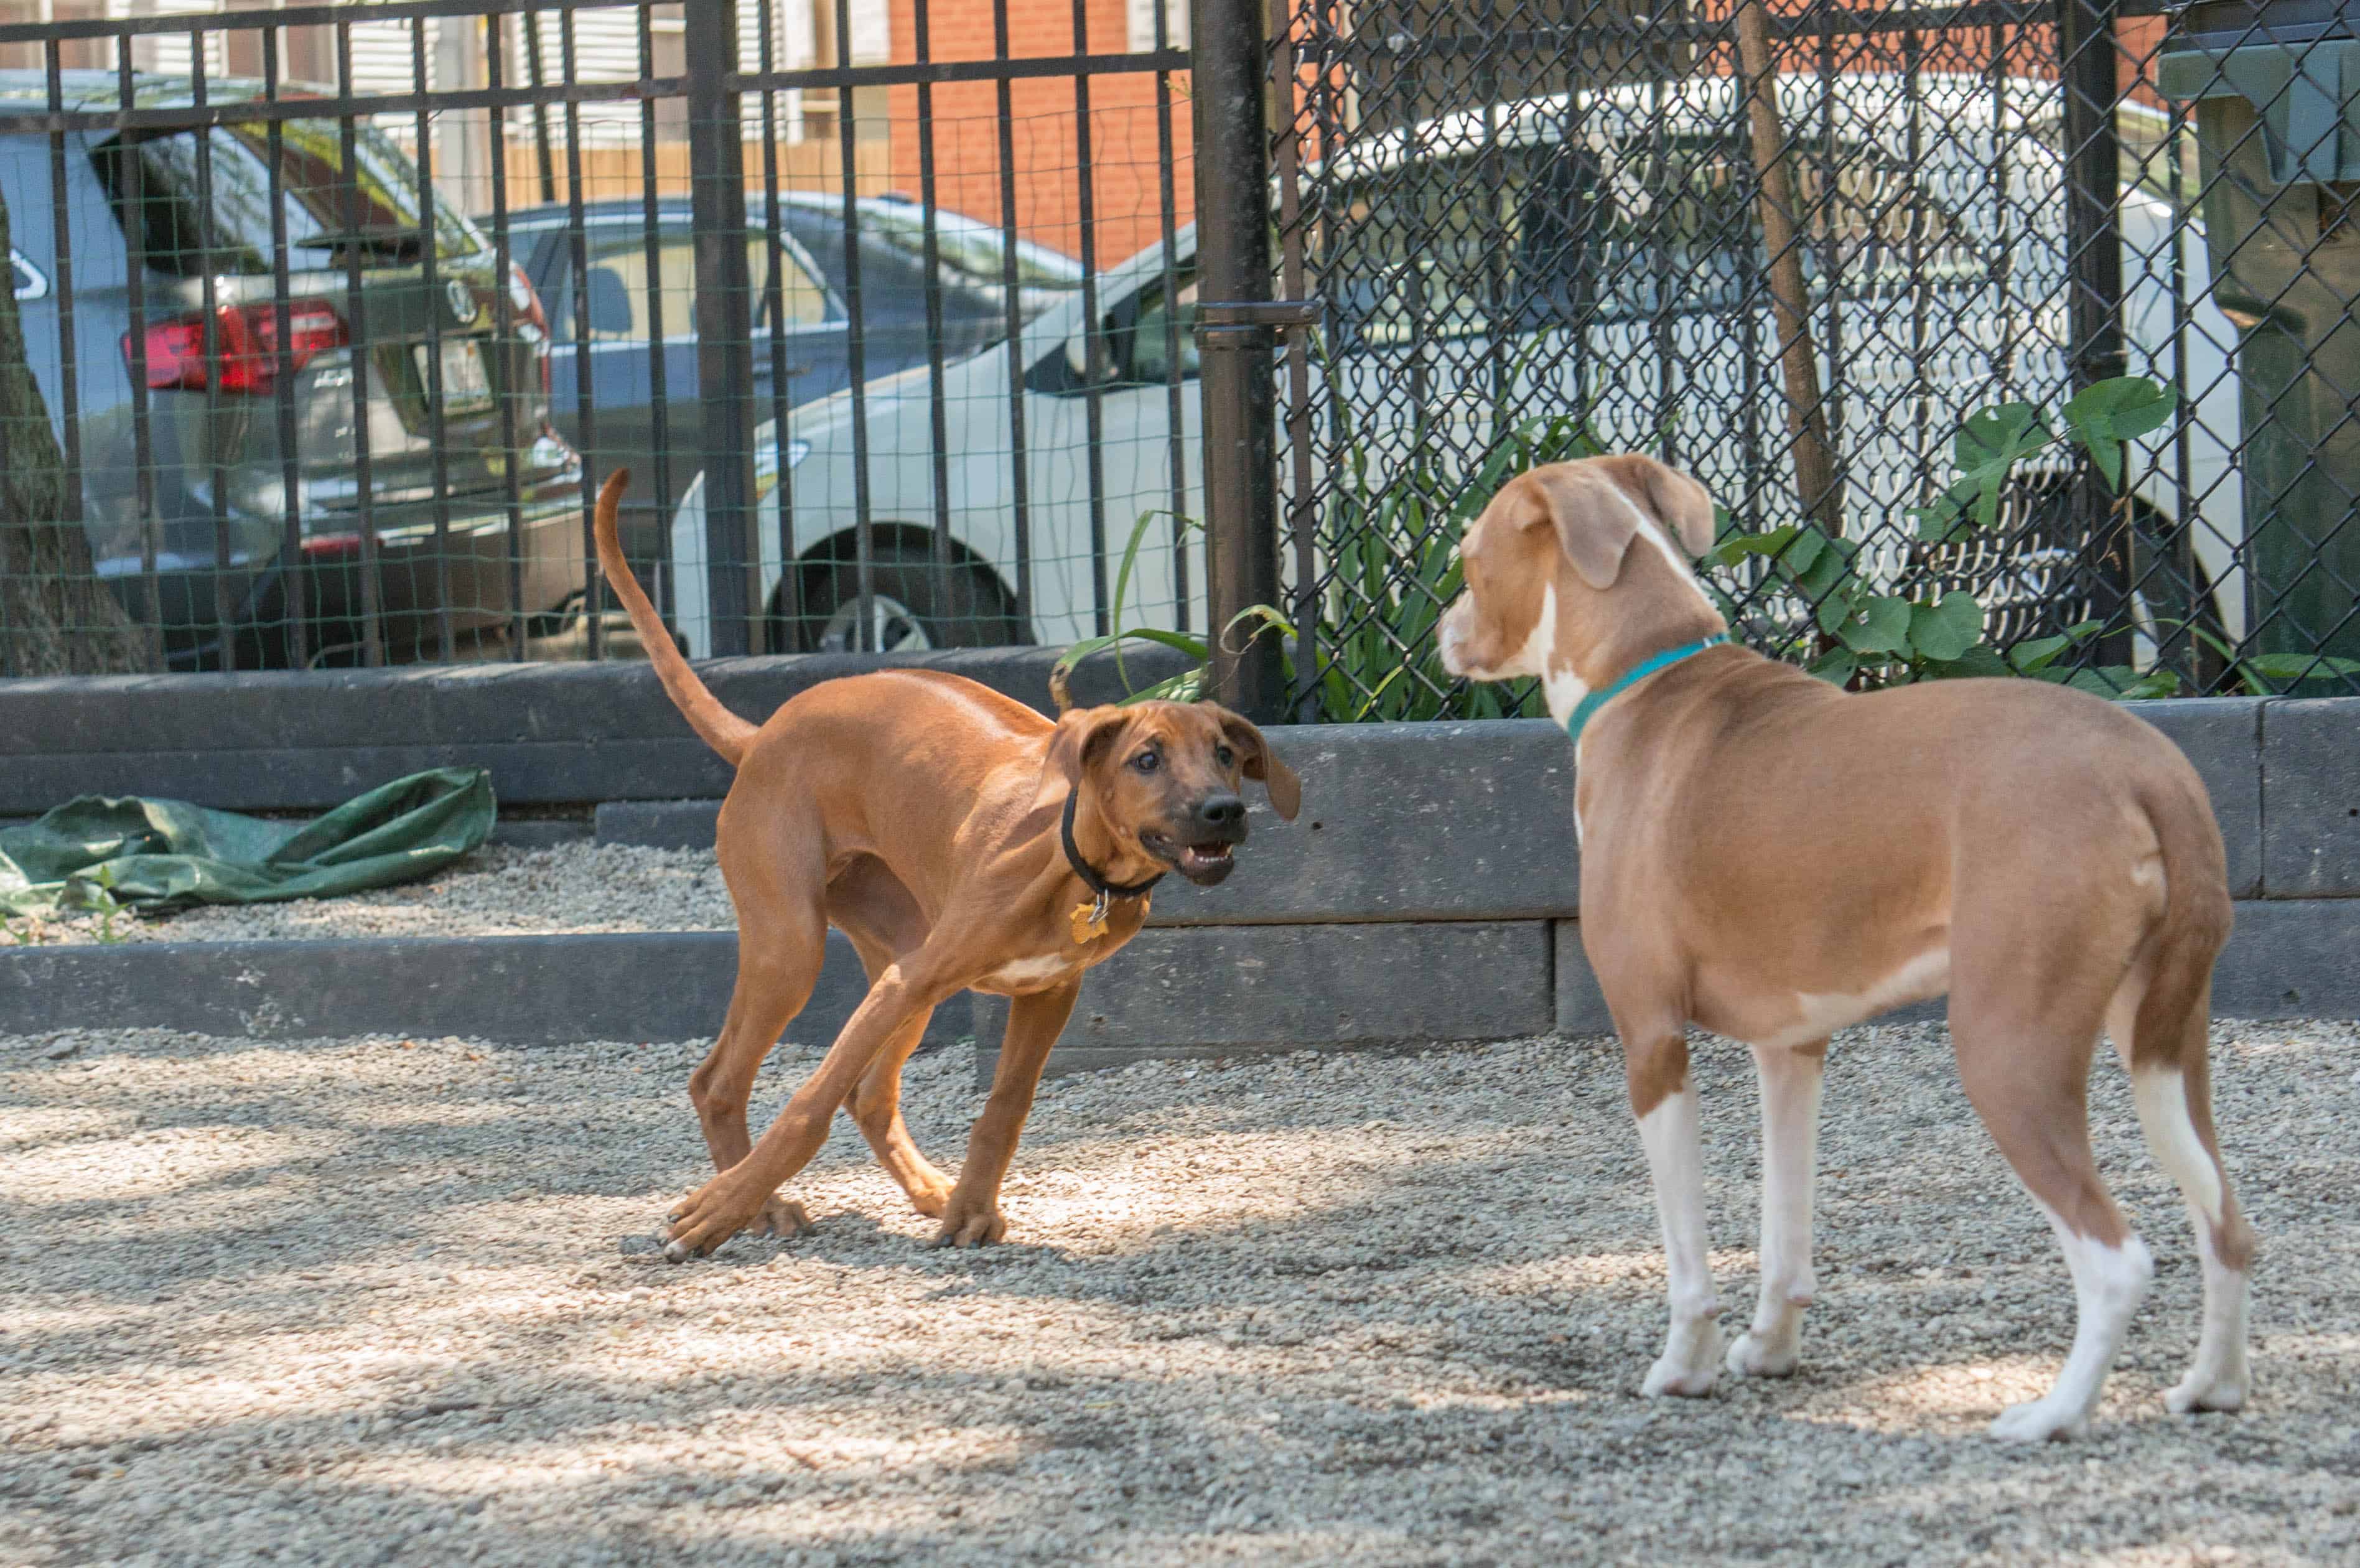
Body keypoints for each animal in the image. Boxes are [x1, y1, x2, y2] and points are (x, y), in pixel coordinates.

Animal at [582, 472, 1302, 1256]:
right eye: (1147, 760)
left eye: (1226, 756)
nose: (1223, 811)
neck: (1076, 873)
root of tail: (762, 734)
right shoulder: (915, 980)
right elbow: (807, 1108)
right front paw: (717, 1212)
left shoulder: (1046, 993)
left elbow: (1005, 1103)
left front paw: (973, 1210)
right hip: (798, 947)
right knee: (720, 1082)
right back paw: (756, 1206)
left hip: (897, 957)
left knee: (869, 1095)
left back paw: (928, 1190)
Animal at [1435, 455, 2246, 1445]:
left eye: (1468, 558)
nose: (1440, 630)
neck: (1645, 680)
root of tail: (2150, 767)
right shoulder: (1791, 1047)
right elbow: (1784, 1227)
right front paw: (1769, 1351)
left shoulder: (1651, 1043)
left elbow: (1687, 1254)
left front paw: (1684, 1368)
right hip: (2166, 1045)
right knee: (2224, 1221)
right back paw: (2209, 1387)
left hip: (2009, 1050)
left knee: (2116, 1257)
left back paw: (2050, 1415)